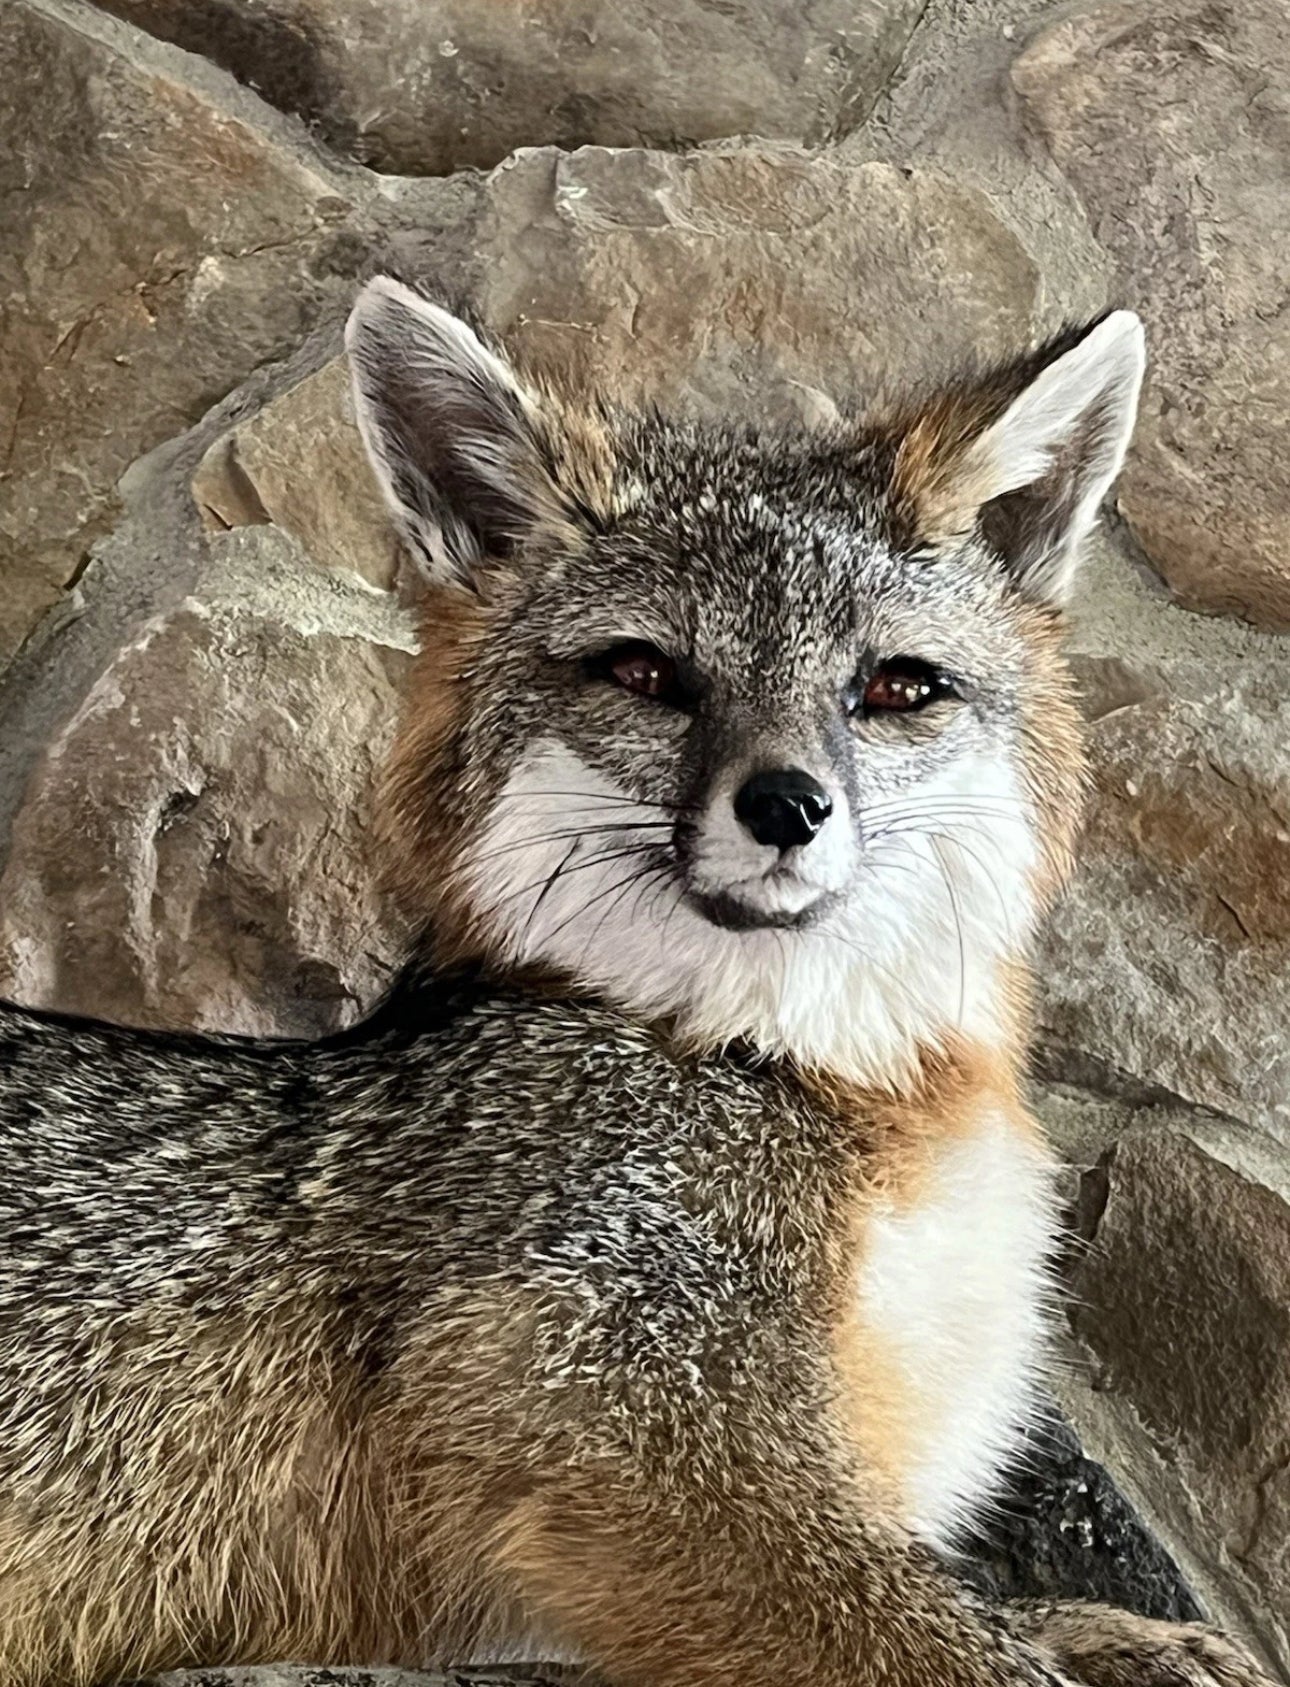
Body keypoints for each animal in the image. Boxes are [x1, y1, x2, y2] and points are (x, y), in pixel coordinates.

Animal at [0, 276, 1276, 1687]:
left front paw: (1122, 1632)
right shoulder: (614, 1396)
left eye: (895, 687)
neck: (813, 1072)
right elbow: (957, 1643)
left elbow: (1009, 1614)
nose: (785, 805)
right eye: (648, 674)